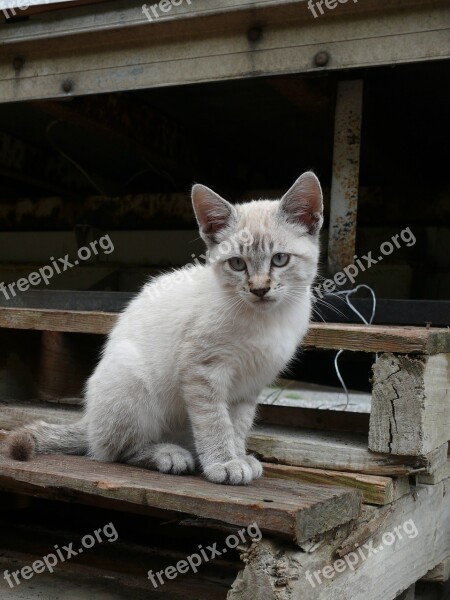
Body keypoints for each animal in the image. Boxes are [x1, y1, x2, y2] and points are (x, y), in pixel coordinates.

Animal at [7, 171, 324, 486]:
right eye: (237, 264)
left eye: (279, 259)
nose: (259, 290)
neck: (267, 320)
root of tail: (89, 420)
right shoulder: (202, 371)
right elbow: (215, 422)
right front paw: (224, 463)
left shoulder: (249, 385)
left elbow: (237, 426)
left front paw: (238, 457)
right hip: (131, 381)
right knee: (112, 450)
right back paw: (168, 455)